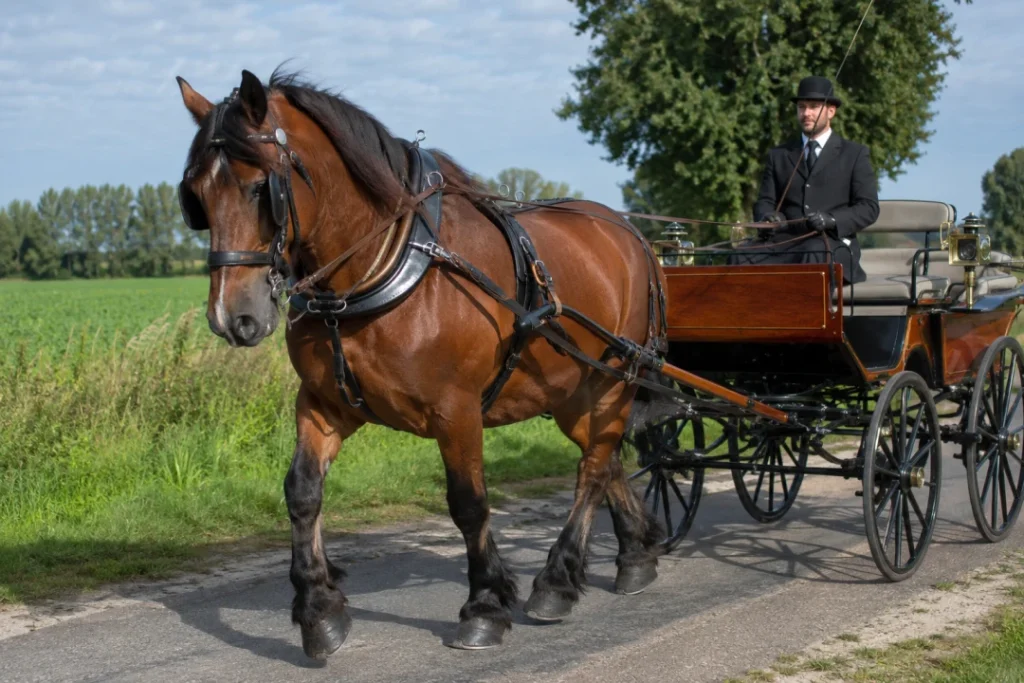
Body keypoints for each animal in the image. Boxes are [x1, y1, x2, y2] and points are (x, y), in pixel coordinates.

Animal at [176, 67, 669, 660]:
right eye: (196, 196)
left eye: (259, 188)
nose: (232, 317)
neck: (379, 270)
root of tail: (630, 231)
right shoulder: (322, 403)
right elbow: (302, 492)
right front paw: (319, 610)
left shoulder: (456, 411)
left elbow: (469, 504)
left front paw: (484, 607)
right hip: (573, 392)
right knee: (606, 457)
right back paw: (635, 552)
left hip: (613, 380)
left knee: (592, 468)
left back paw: (557, 580)